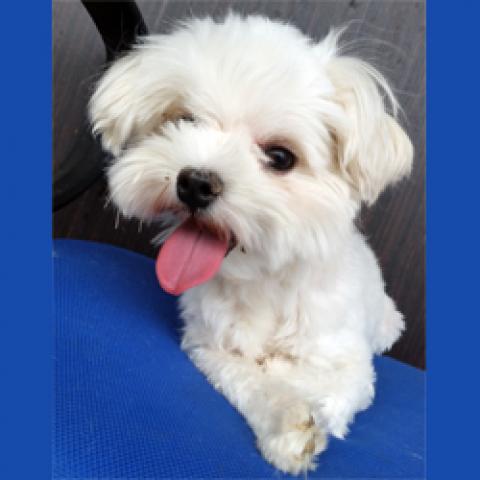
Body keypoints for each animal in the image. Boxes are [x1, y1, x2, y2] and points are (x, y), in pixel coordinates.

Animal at [89, 13, 413, 474]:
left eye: (280, 157)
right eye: (184, 120)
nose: (195, 182)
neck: (264, 283)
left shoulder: (347, 365)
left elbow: (318, 383)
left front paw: (290, 389)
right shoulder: (208, 346)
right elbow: (248, 380)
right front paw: (287, 425)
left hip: (386, 323)